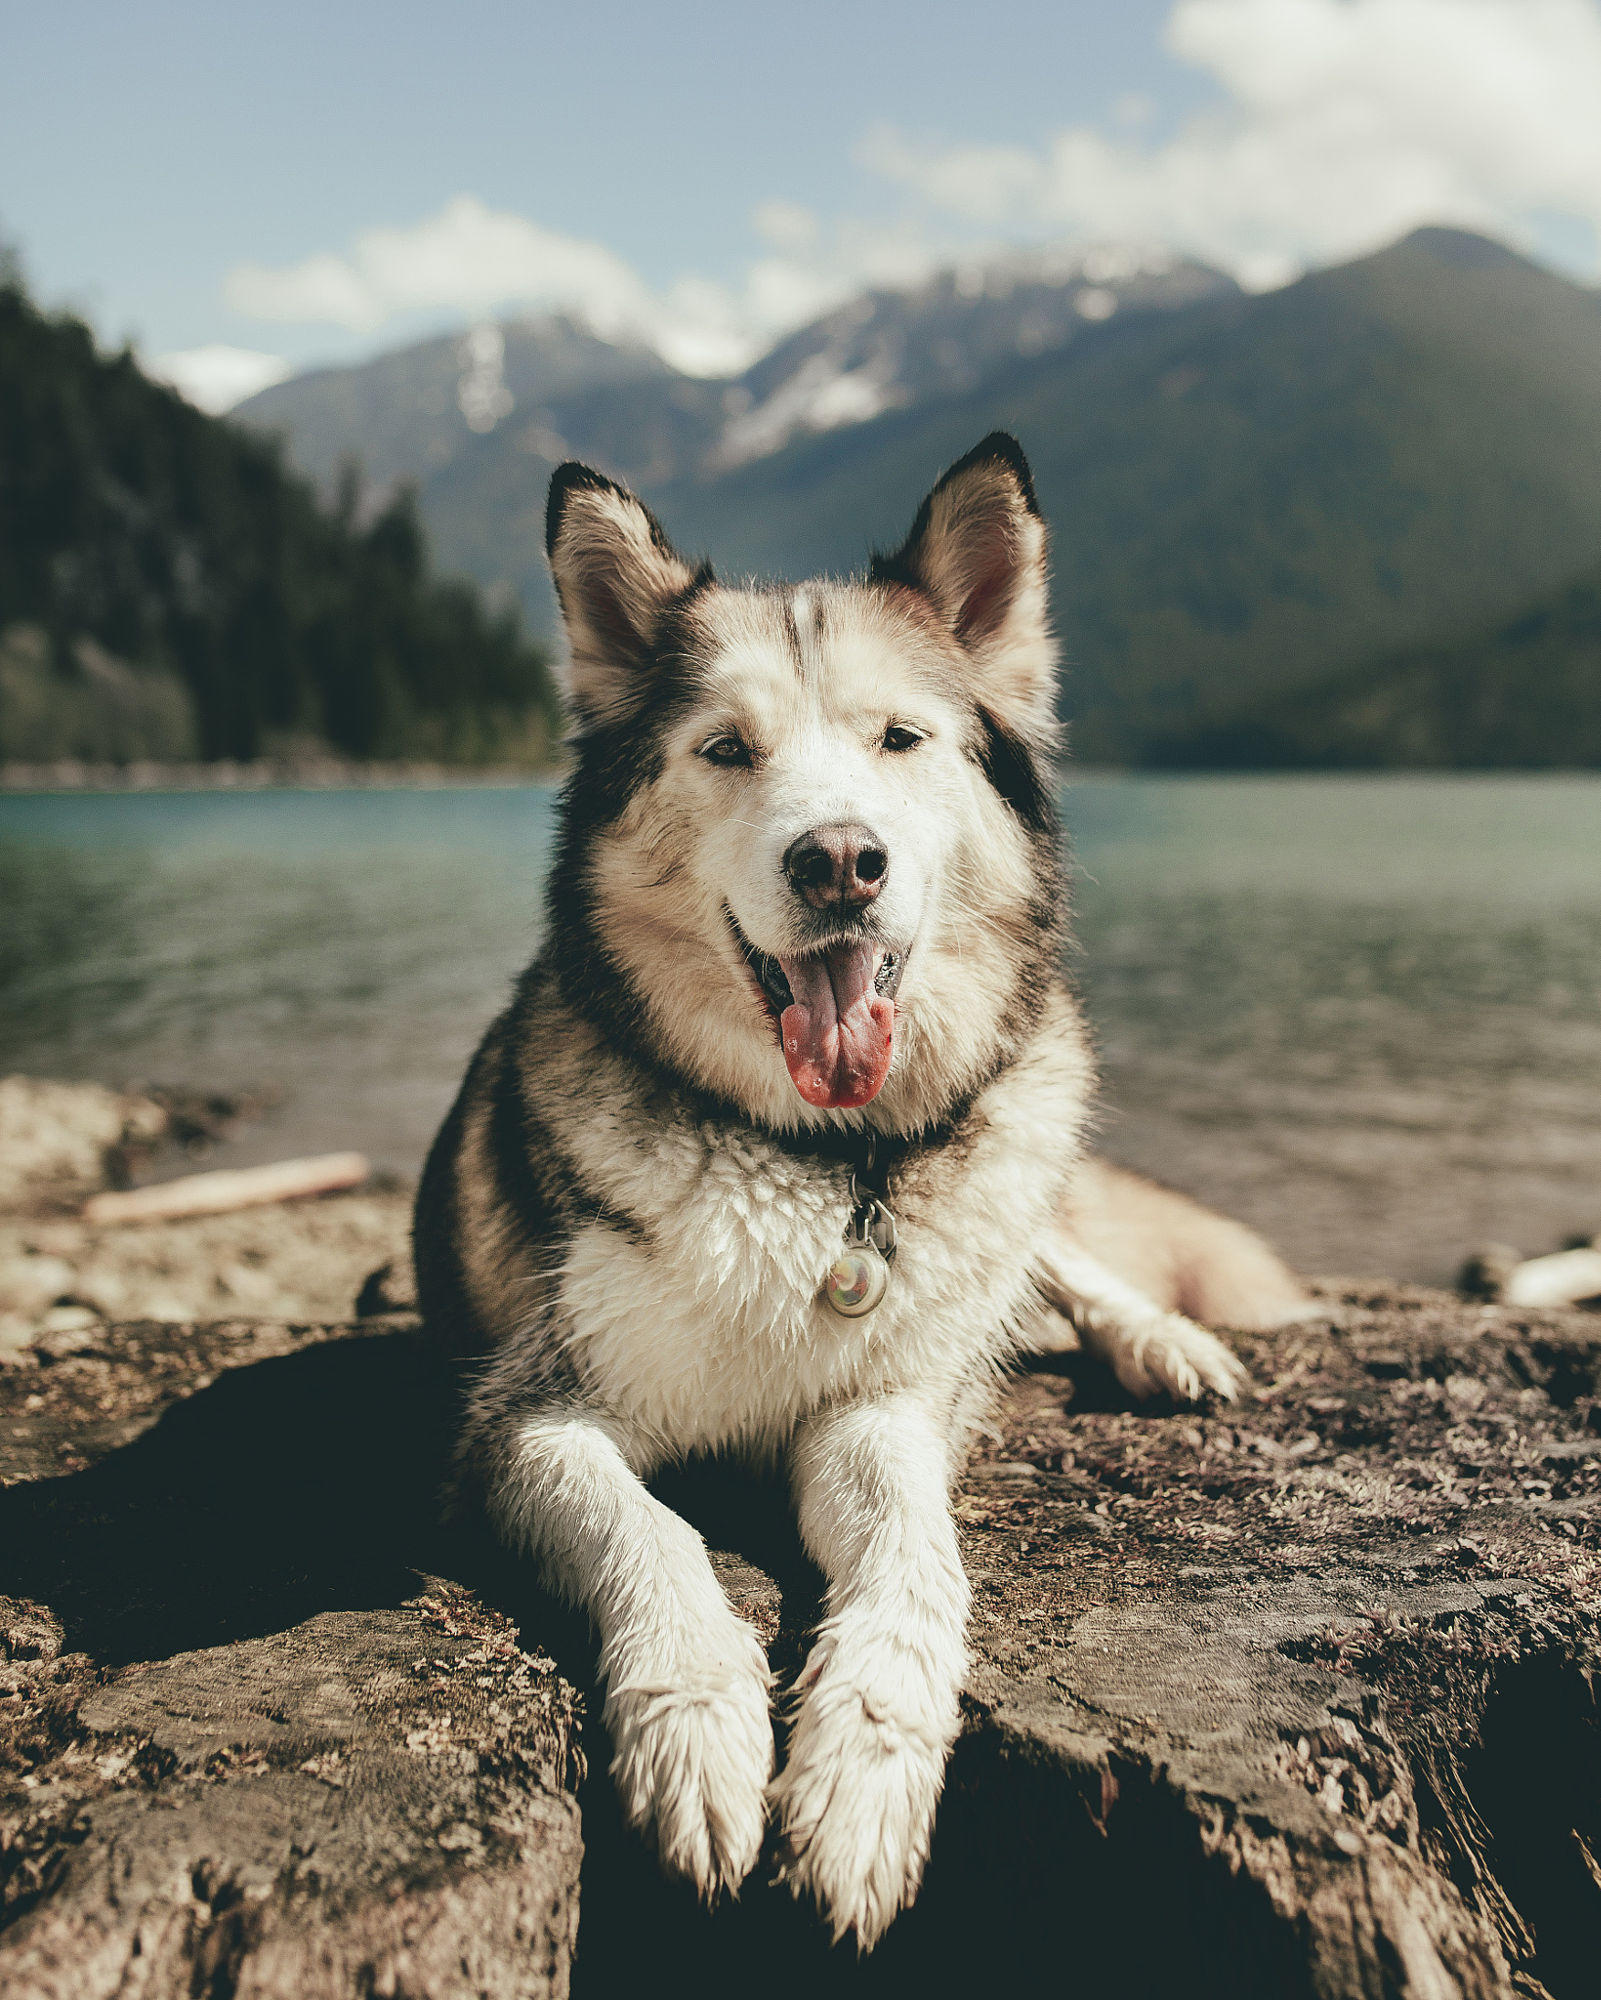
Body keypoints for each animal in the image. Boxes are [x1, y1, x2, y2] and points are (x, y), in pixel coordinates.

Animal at [418, 430, 1304, 1944]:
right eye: (726, 748)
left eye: (899, 739)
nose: (838, 860)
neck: (826, 1171)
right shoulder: (529, 1417)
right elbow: (653, 1535)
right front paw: (698, 1726)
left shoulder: (876, 1406)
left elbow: (911, 1557)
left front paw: (863, 1773)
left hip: (1013, 1158)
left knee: (1059, 1257)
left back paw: (1160, 1340)